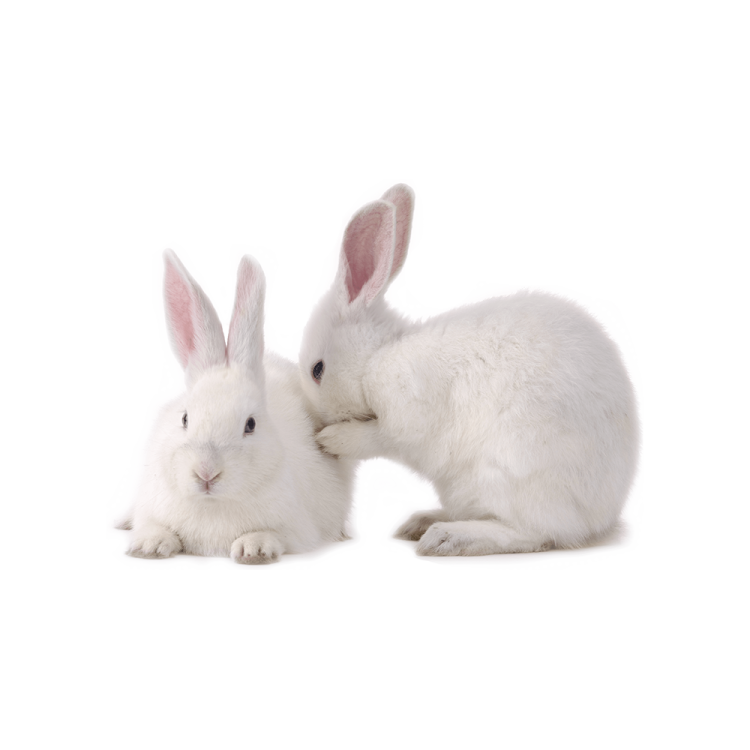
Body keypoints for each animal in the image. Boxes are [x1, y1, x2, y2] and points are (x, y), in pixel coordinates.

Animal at [113, 244, 355, 564]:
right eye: (185, 419)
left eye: (250, 425)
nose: (206, 473)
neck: (213, 504)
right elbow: (155, 526)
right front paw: (149, 546)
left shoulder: (297, 531)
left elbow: (273, 535)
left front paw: (254, 549)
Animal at [297, 182, 643, 556]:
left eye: (318, 370)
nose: (318, 421)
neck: (376, 357)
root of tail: (598, 522)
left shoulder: (404, 415)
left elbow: (376, 437)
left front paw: (331, 439)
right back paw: (420, 522)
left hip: (505, 479)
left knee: (533, 533)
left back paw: (448, 537)